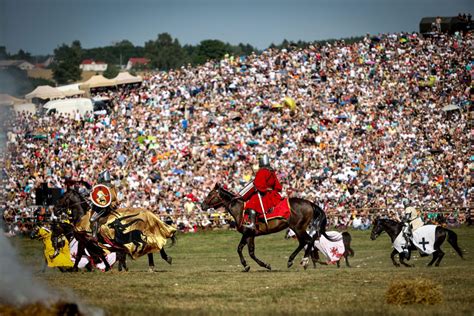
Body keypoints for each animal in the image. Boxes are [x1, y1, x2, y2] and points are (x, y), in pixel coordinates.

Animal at [202, 184, 332, 270]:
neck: (240, 209)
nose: (202, 205)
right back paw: (291, 260)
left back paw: (304, 261)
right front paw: (257, 265)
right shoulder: (250, 235)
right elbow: (248, 251)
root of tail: (310, 203)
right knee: (304, 242)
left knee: (309, 241)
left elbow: (243, 250)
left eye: (210, 194)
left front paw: (252, 265)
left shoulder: (248, 233)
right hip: (297, 229)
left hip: (298, 228)